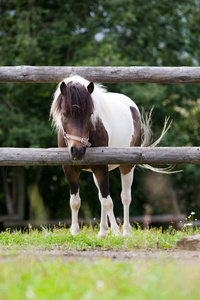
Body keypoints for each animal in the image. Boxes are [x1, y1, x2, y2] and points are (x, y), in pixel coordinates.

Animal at [49, 74, 169, 237]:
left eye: (90, 114)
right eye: (64, 114)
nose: (78, 151)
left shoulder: (101, 167)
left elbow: (108, 201)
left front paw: (116, 231)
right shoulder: (69, 168)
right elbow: (75, 201)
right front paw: (74, 232)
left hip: (126, 167)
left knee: (125, 197)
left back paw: (125, 231)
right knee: (101, 196)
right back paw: (103, 231)